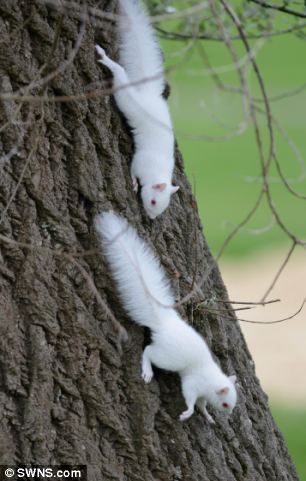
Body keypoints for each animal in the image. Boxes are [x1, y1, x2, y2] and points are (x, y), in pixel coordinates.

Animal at [95, 0, 179, 218]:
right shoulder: (141, 161)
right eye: (153, 201)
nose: (151, 217)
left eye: (162, 207)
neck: (158, 170)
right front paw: (133, 182)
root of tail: (149, 94)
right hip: (126, 98)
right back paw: (106, 59)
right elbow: (132, 169)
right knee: (120, 75)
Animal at [95, 212, 237, 422]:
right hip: (167, 357)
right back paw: (147, 371)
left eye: (233, 403)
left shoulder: (203, 394)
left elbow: (202, 405)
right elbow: (190, 398)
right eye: (226, 403)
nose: (229, 413)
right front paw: (188, 413)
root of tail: (166, 323)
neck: (211, 380)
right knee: (148, 352)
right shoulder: (193, 383)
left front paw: (207, 416)